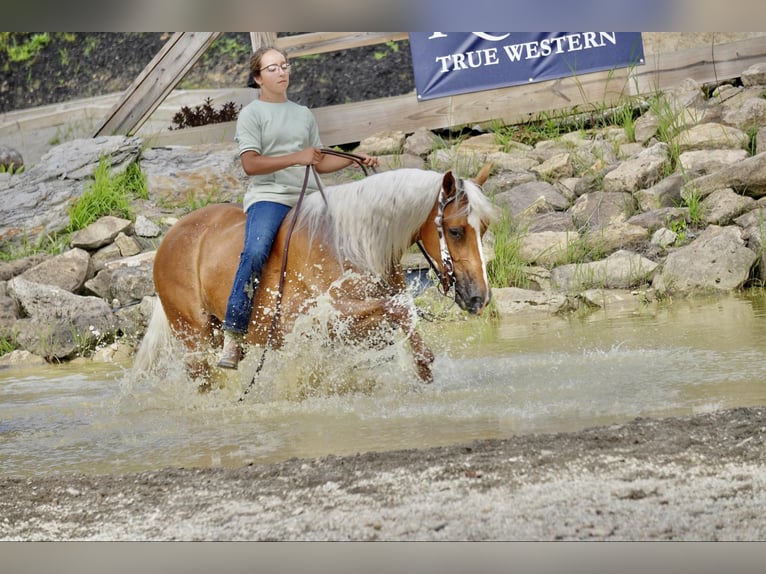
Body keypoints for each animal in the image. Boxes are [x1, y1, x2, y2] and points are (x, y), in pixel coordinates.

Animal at [134, 164, 498, 384]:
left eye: (483, 227)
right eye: (455, 231)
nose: (479, 296)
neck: (351, 242)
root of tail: (170, 238)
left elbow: (403, 312)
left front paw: (421, 367)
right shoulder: (328, 317)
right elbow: (394, 308)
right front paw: (423, 360)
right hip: (193, 338)